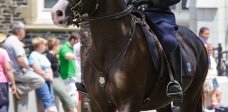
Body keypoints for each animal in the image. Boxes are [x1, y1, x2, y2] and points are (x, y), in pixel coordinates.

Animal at [51, 0, 208, 111]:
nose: (56, 13)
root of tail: (197, 40)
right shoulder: (98, 104)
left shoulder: (129, 102)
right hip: (162, 101)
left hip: (190, 98)